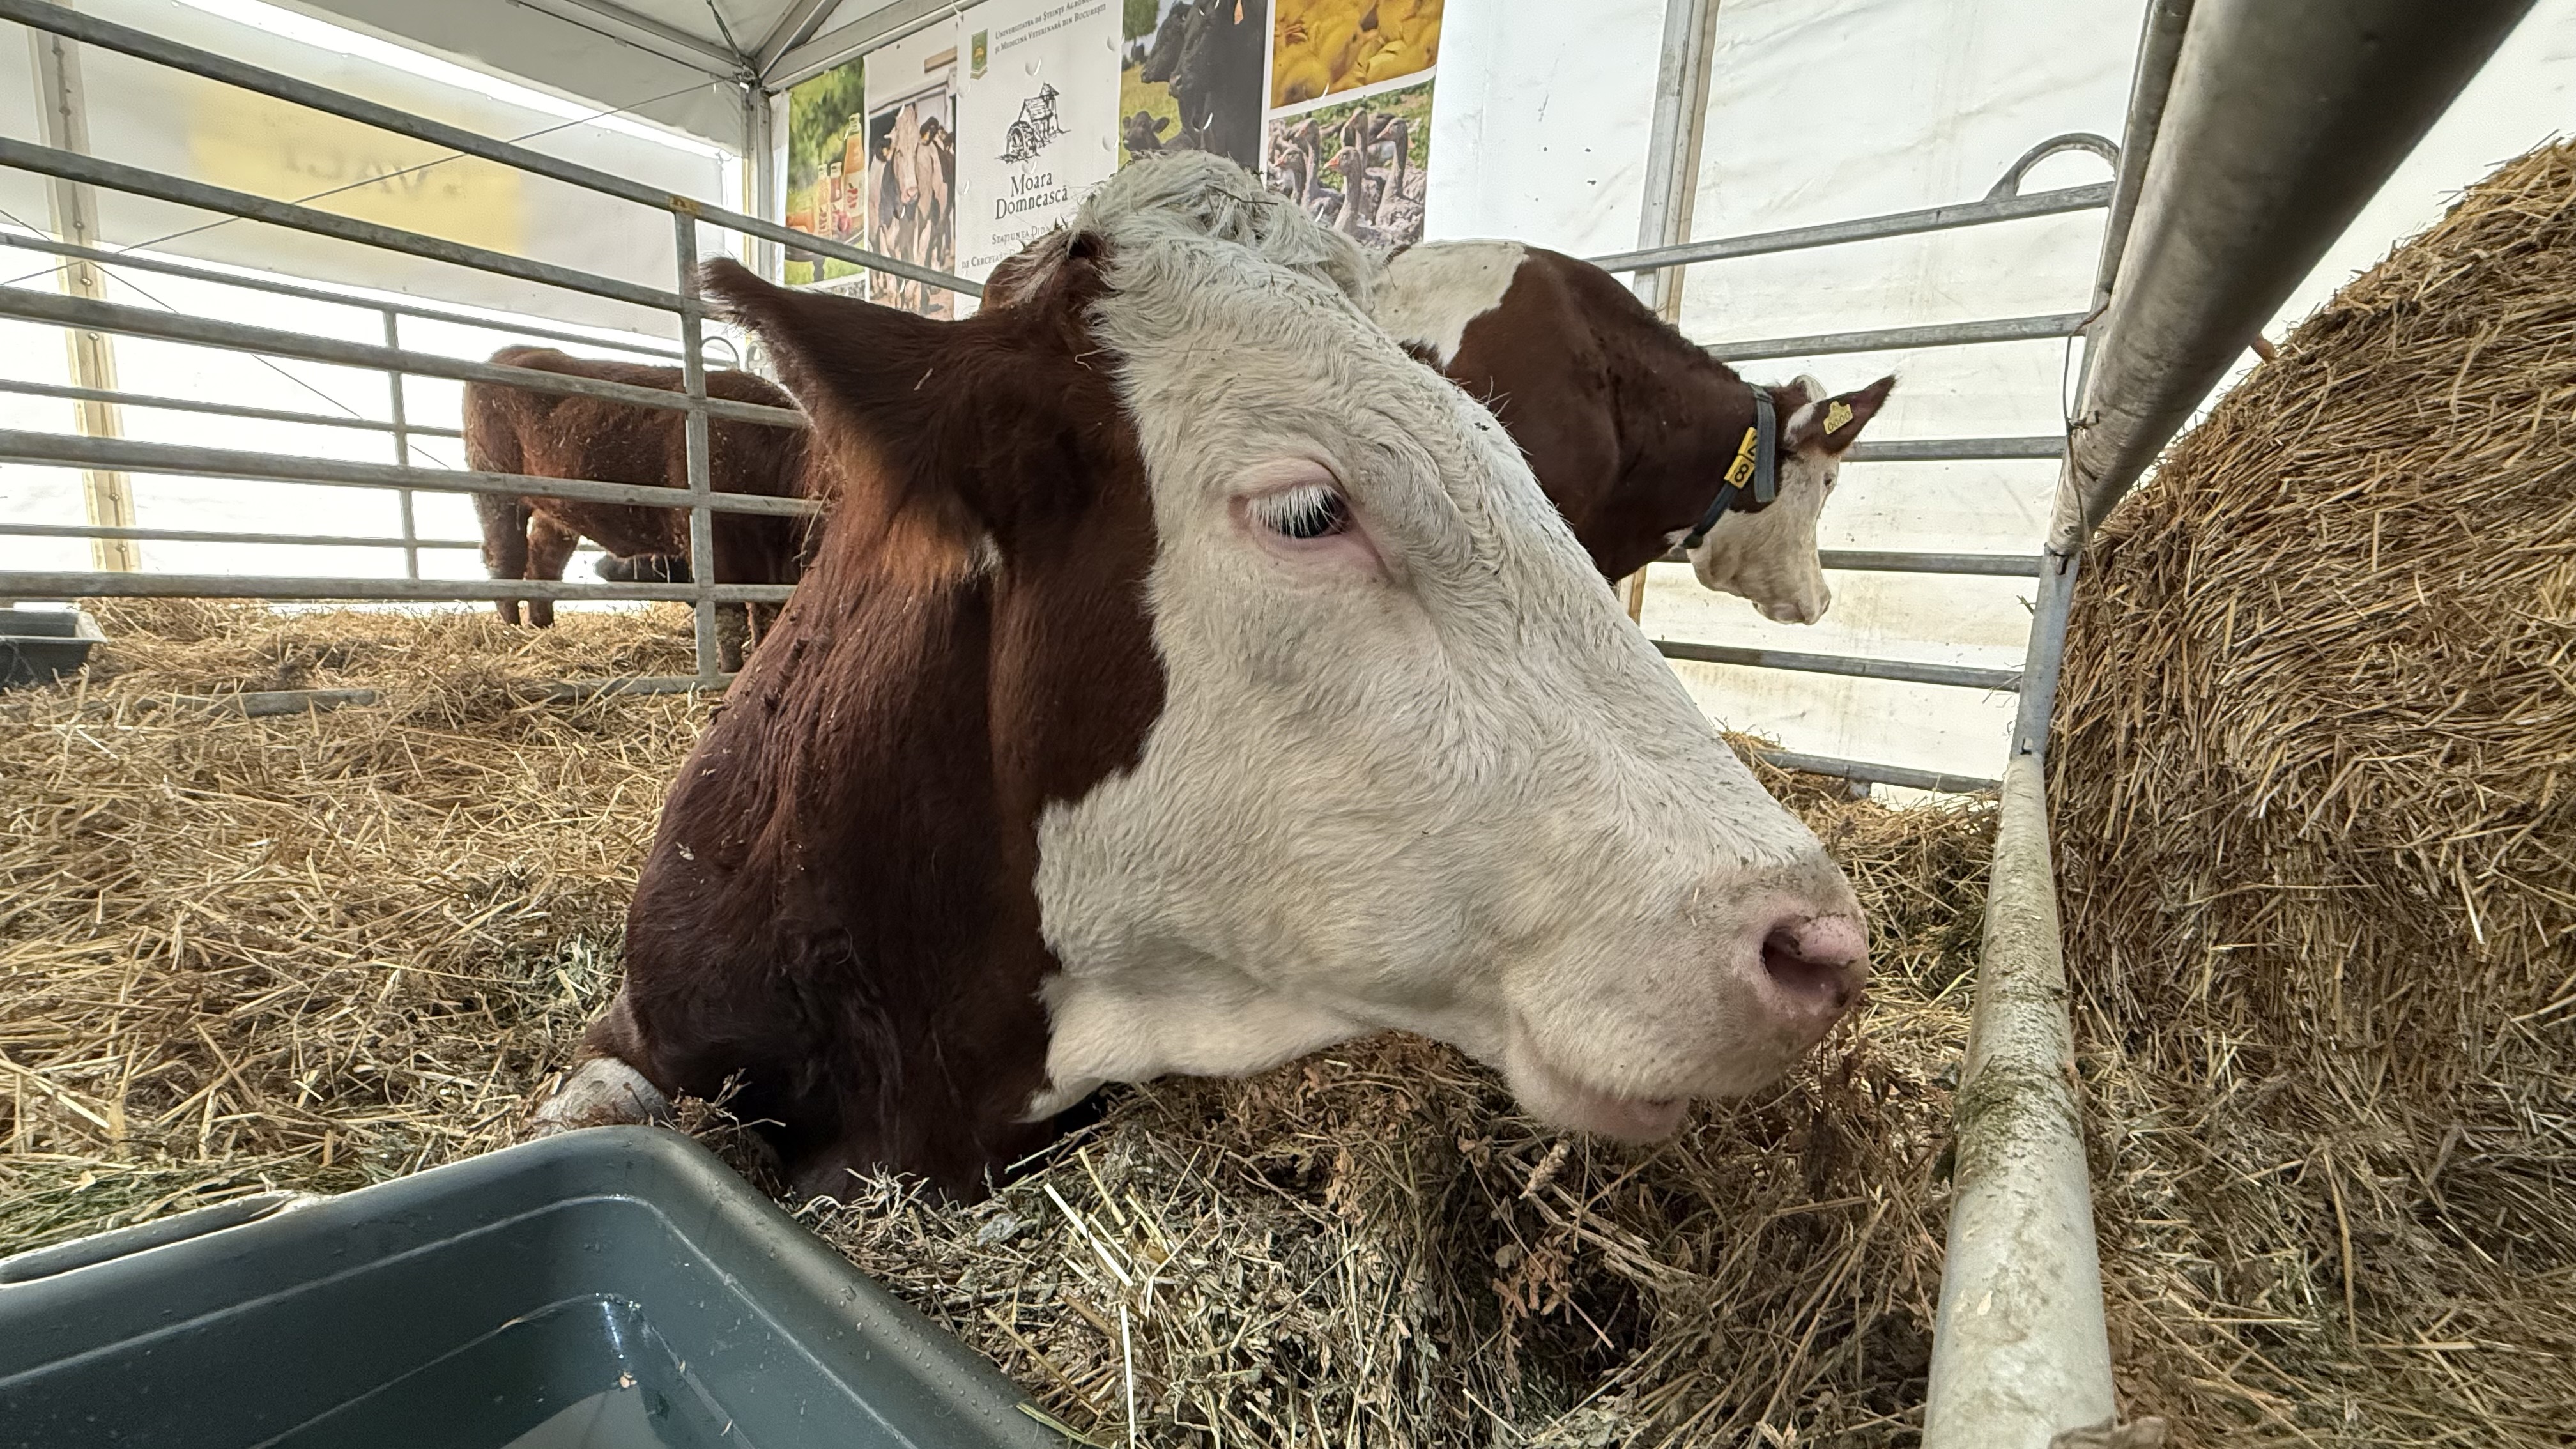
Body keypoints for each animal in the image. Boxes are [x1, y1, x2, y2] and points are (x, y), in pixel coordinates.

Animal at [462, 347, 818, 669]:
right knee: (504, 555)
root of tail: (508, 353)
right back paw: (511, 629)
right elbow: (730, 618)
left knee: (543, 563)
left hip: (555, 514)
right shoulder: (719, 548)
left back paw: (542, 628)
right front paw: (732, 668)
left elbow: (766, 615)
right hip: (496, 492)